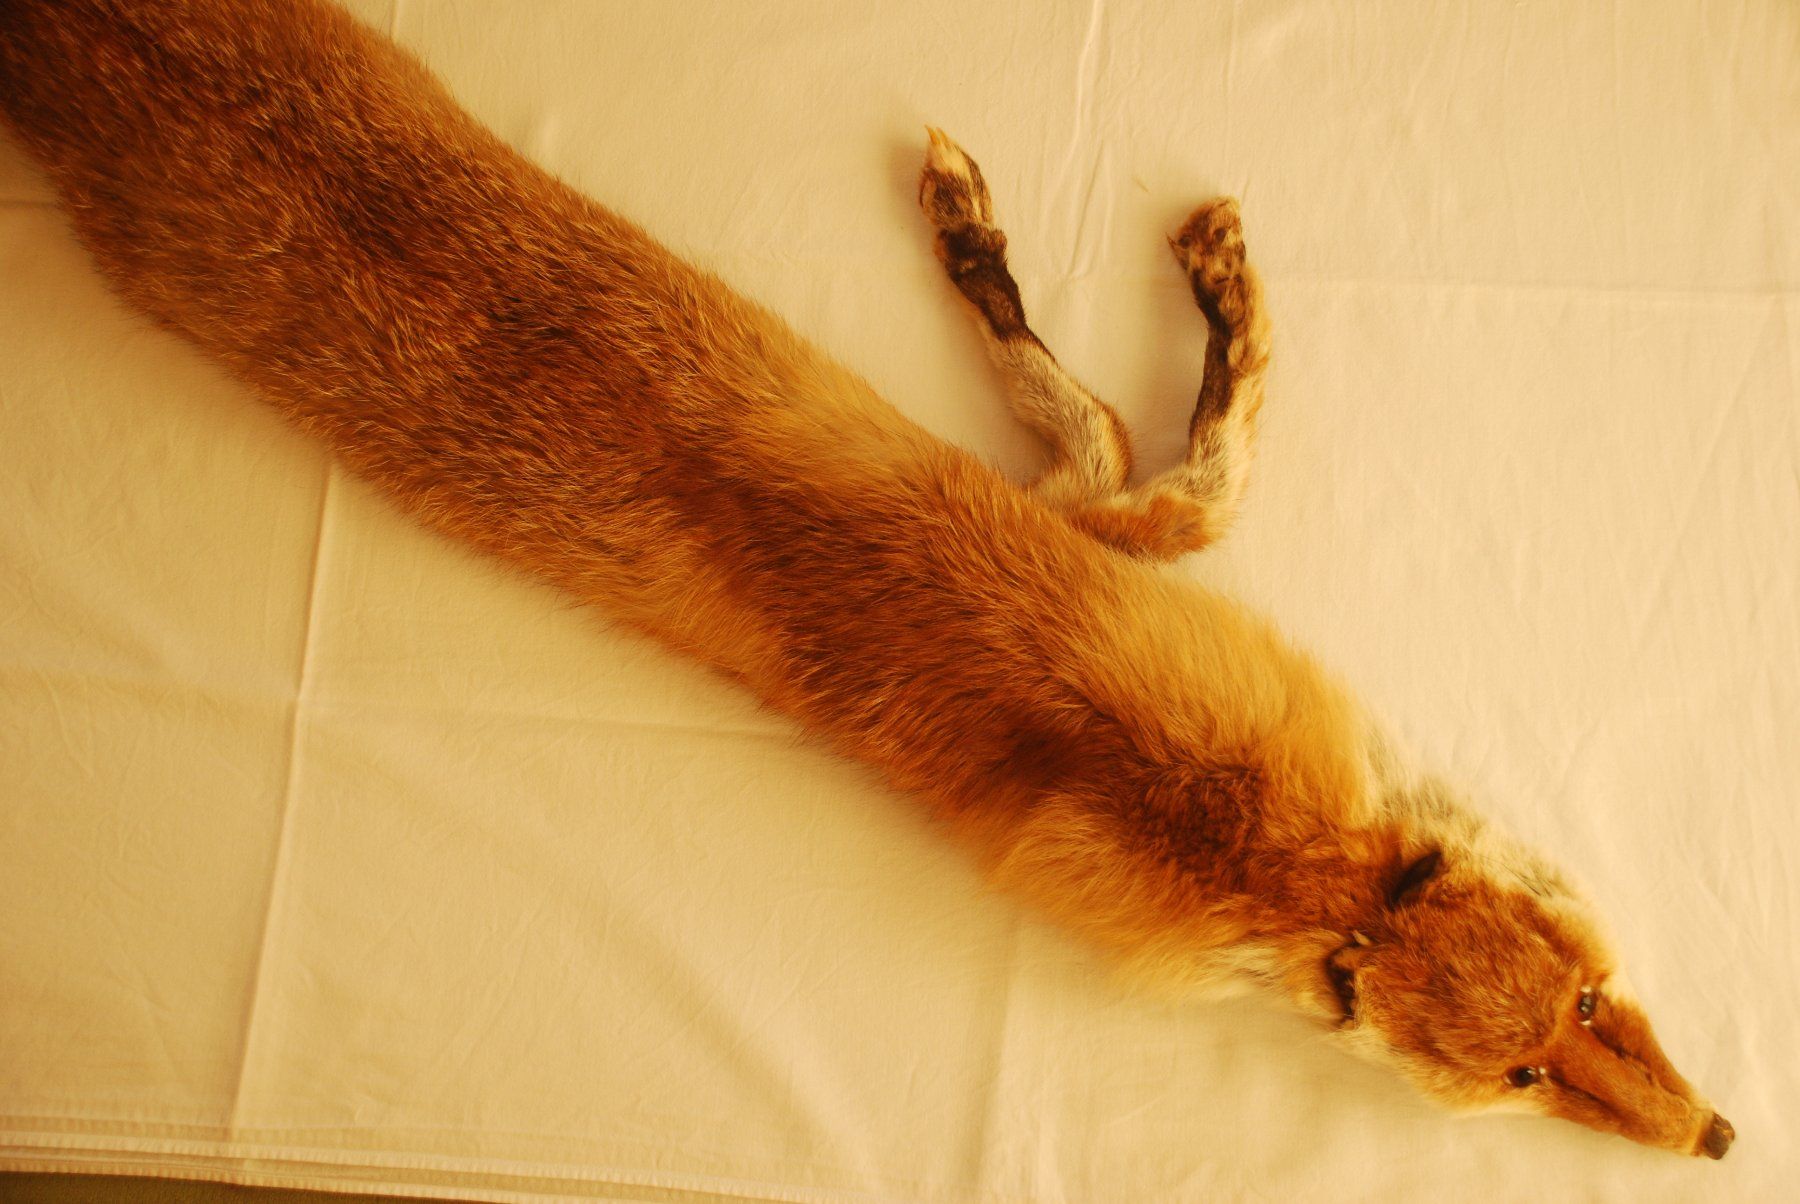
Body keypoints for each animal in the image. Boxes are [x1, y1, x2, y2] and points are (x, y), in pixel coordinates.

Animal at [0, 0, 1734, 1162]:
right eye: (1526, 1077)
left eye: (1589, 1007)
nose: (1719, 1138)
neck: (1264, 843)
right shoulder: (1111, 523)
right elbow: (1171, 442)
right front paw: (1095, 264)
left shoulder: (1083, 524)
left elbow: (1105, 412)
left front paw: (1021, 251)